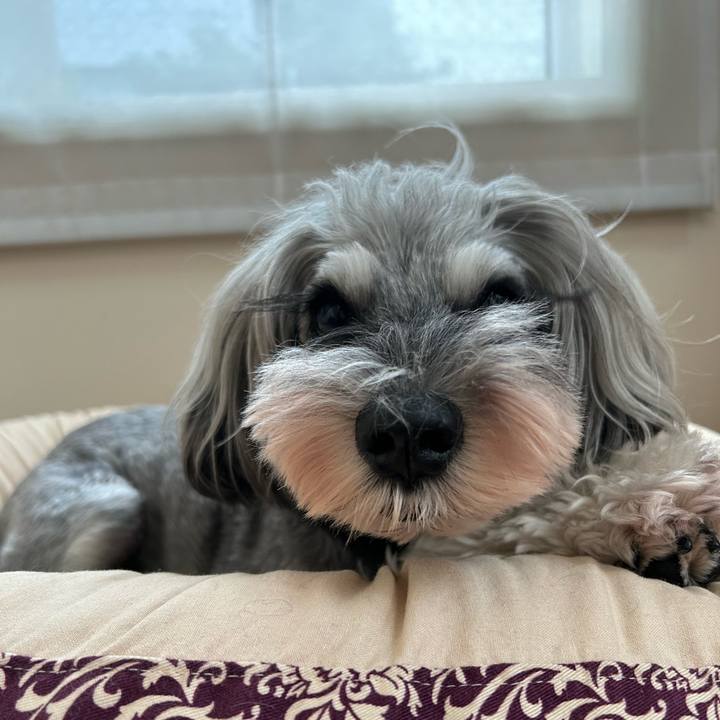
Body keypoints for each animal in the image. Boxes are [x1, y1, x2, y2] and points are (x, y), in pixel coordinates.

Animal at [2, 128, 719, 586]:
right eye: (327, 313)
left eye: (499, 297)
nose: (407, 433)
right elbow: (502, 519)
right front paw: (655, 506)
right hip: (100, 510)